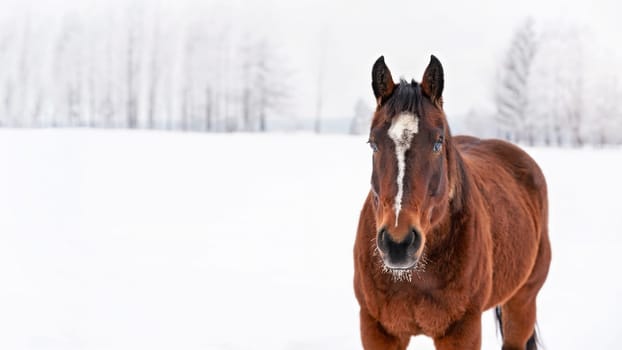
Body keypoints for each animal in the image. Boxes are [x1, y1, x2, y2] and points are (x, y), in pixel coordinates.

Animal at [354, 56, 552, 348]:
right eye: (373, 143)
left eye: (438, 143)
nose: (398, 244)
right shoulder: (377, 329)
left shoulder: (462, 330)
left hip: (522, 302)